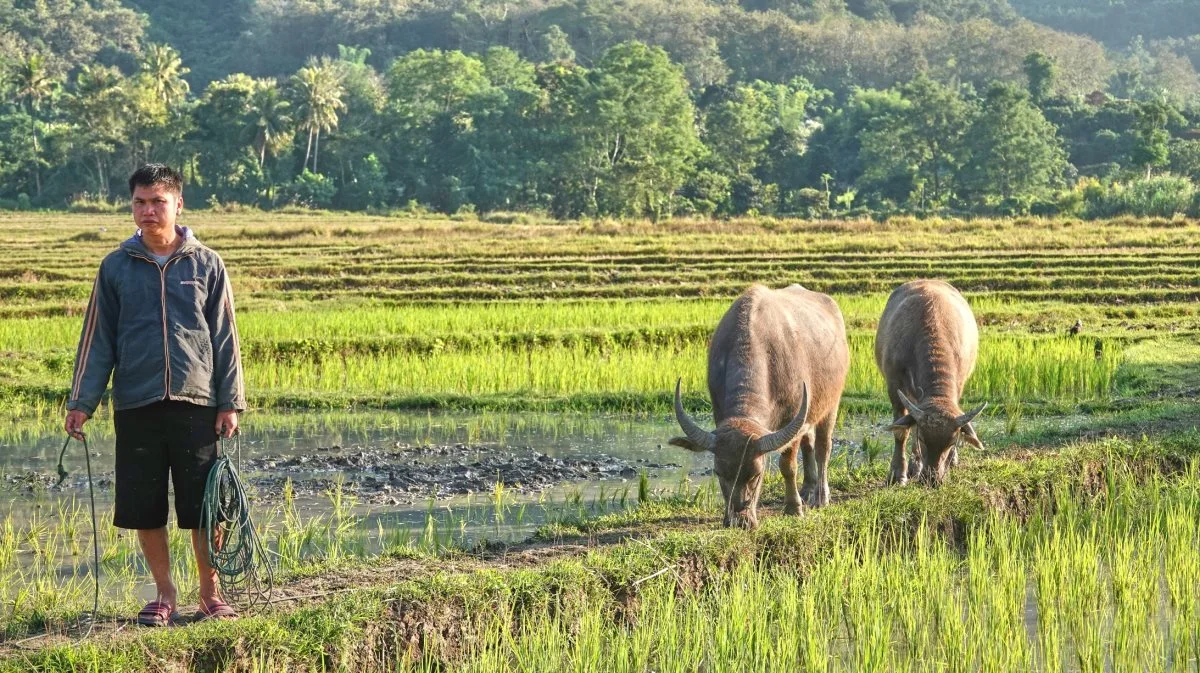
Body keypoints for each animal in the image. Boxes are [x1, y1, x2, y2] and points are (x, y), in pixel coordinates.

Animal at [667, 280, 854, 527]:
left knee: (823, 447)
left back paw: (820, 497)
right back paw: (807, 489)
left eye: (756, 474)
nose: (739, 521)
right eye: (719, 473)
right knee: (809, 442)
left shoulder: (792, 416)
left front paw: (793, 508)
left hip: (832, 403)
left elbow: (788, 466)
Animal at [873, 278, 984, 482]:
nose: (932, 479)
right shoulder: (894, 387)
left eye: (952, 442)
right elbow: (902, 432)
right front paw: (897, 473)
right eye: (923, 439)